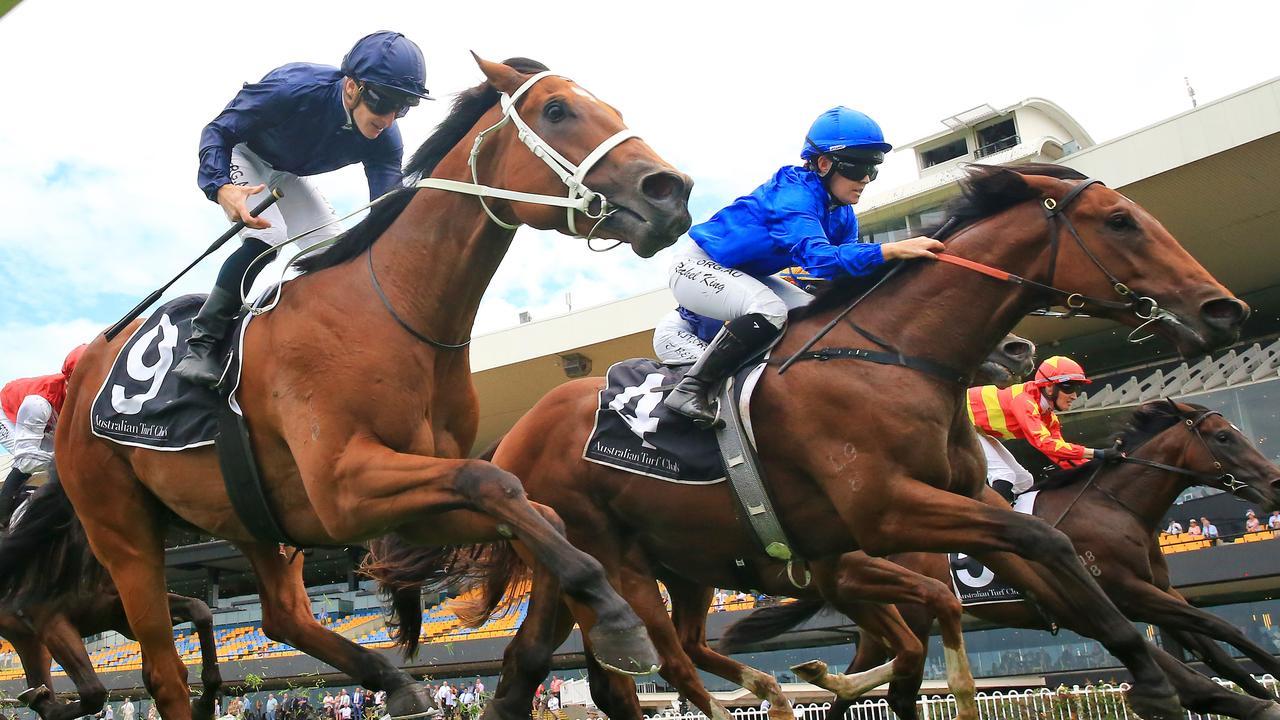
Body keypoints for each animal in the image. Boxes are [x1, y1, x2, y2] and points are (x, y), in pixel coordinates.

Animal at [0, 476, 222, 717]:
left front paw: (203, 703)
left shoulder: (120, 614)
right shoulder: (51, 622)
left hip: (30, 641)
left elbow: (200, 609)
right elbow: (93, 692)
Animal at [52, 56, 691, 717]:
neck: (393, 309)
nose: (671, 191)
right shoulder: (344, 489)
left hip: (247, 515)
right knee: (162, 669)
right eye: (557, 110)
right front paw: (619, 619)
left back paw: (394, 680)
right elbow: (490, 478)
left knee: (280, 616)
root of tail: (76, 377)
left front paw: (597, 611)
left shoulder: (414, 508)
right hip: (121, 529)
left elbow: (532, 509)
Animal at [727, 397, 1280, 717]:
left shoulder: (1156, 592)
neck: (1114, 506)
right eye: (1224, 437)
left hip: (890, 626)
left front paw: (1258, 689)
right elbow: (1216, 630)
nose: (1275, 484)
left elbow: (1213, 642)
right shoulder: (1128, 592)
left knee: (861, 686)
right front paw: (1261, 687)